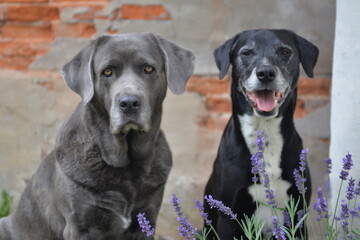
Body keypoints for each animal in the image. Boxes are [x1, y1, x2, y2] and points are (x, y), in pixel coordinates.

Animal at [0, 33, 194, 240]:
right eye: (107, 72)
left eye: (148, 68)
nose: (129, 103)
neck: (126, 165)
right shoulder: (80, 226)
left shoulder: (146, 218)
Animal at [204, 29, 320, 238]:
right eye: (246, 53)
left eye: (284, 51)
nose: (265, 73)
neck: (265, 135)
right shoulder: (228, 217)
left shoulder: (297, 215)